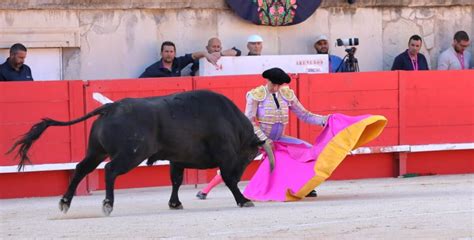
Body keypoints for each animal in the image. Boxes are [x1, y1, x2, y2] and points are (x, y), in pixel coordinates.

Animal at [7, 90, 274, 216]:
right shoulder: (225, 155)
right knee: (110, 170)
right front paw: (244, 200)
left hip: (95, 151)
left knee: (81, 168)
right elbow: (227, 178)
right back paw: (107, 204)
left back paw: (64, 202)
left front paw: (175, 203)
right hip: (131, 155)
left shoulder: (177, 158)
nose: (242, 173)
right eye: (249, 156)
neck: (232, 124)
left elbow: (176, 180)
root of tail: (110, 107)